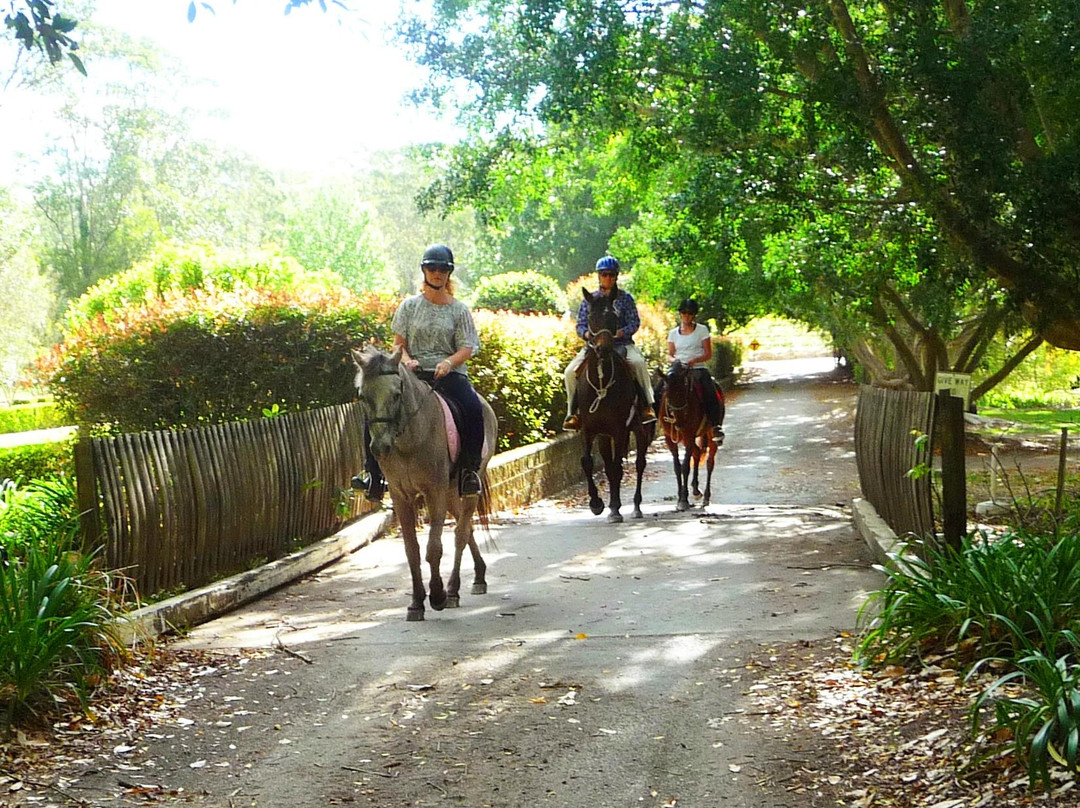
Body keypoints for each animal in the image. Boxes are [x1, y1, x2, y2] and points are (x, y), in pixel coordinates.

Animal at [352, 345, 498, 621]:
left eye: (397, 394)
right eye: (363, 396)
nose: (380, 448)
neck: (409, 439)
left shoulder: (434, 492)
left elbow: (433, 548)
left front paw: (437, 595)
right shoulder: (400, 495)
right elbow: (412, 551)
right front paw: (416, 602)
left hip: (465, 488)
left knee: (461, 533)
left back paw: (454, 590)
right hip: (451, 491)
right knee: (467, 529)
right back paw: (478, 576)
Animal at [574, 289, 655, 522]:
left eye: (613, 317)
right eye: (591, 316)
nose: (603, 348)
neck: (601, 381)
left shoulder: (619, 430)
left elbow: (618, 468)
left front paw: (615, 508)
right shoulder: (590, 430)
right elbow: (589, 462)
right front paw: (598, 504)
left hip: (639, 430)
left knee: (639, 464)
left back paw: (636, 507)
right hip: (604, 436)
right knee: (611, 467)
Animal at [658, 361, 724, 511]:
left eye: (684, 391)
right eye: (667, 392)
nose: (679, 422)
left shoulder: (689, 435)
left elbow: (685, 467)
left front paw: (683, 500)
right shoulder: (670, 438)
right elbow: (677, 467)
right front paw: (680, 498)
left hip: (709, 434)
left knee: (709, 462)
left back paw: (706, 496)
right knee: (697, 453)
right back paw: (695, 490)